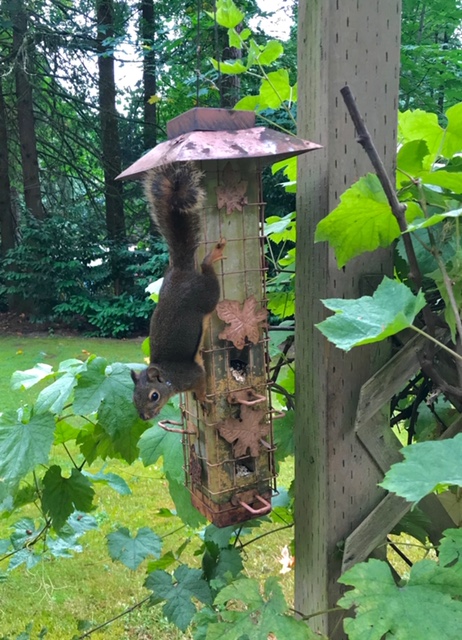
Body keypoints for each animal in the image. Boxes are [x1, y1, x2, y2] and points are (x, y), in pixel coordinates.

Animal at [131, 162, 226, 421]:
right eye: (133, 398)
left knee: (207, 274)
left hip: (207, 295)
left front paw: (203, 399)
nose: (144, 417)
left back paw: (211, 257)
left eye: (154, 396)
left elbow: (201, 383)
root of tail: (181, 269)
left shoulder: (192, 374)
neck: (168, 377)